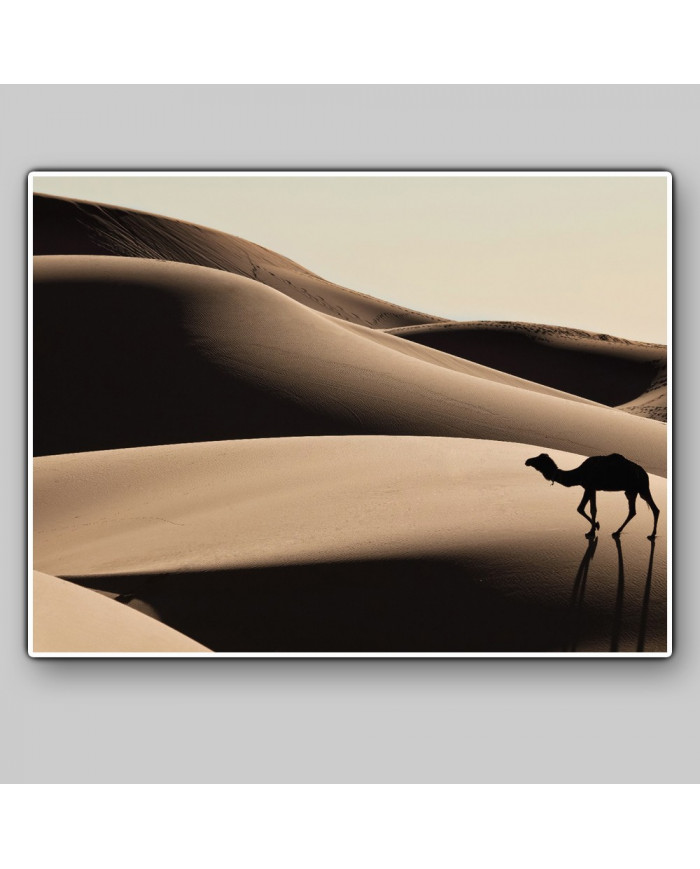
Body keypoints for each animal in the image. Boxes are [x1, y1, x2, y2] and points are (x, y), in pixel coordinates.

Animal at [525, 452, 659, 540]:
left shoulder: (589, 487)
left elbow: (580, 508)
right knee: (634, 511)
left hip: (642, 488)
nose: (527, 461)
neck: (579, 473)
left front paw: (594, 529)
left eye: (539, 459)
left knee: (654, 509)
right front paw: (593, 529)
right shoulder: (592, 489)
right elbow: (593, 509)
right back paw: (617, 532)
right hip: (631, 491)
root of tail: (645, 473)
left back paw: (651, 534)